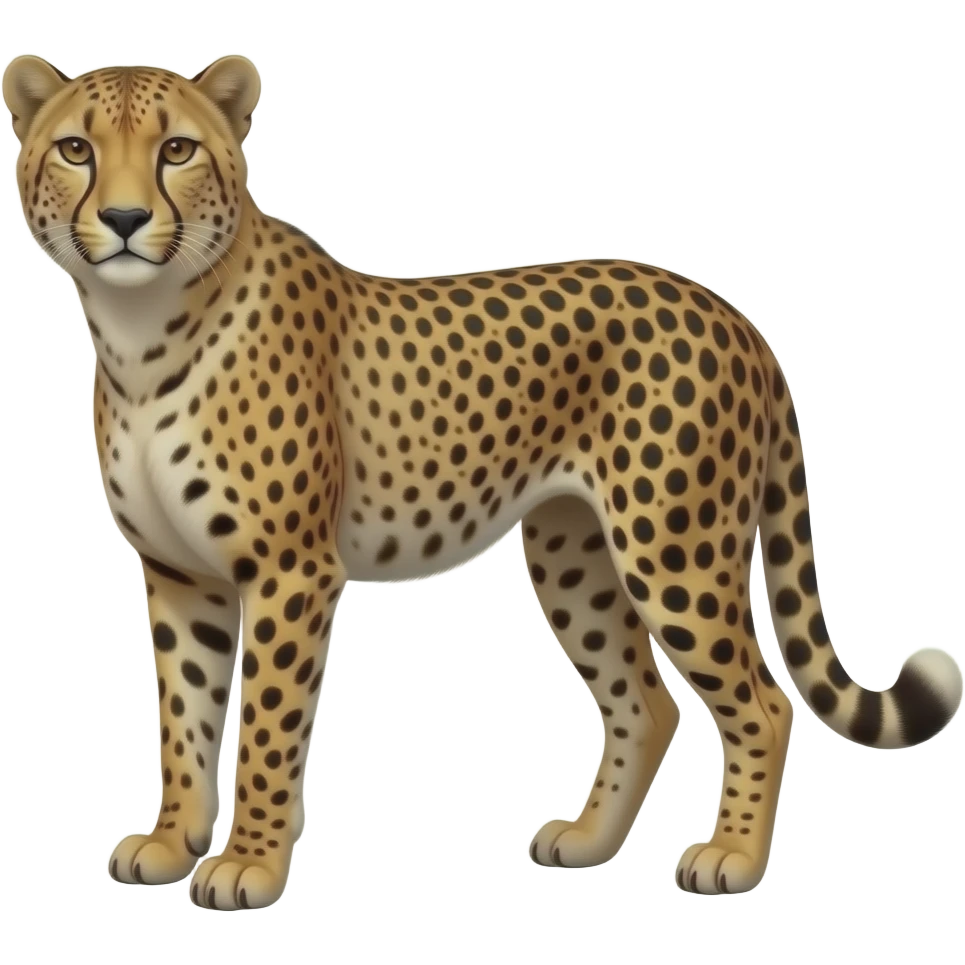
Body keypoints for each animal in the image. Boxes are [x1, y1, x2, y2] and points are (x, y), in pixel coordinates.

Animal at [4, 52, 962, 907]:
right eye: (77, 148)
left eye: (177, 150)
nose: (127, 217)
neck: (140, 327)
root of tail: (731, 313)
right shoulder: (179, 573)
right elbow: (184, 718)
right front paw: (172, 843)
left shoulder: (289, 570)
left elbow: (269, 724)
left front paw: (247, 865)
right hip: (576, 556)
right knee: (645, 702)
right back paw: (588, 840)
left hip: (673, 549)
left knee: (761, 703)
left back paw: (729, 857)